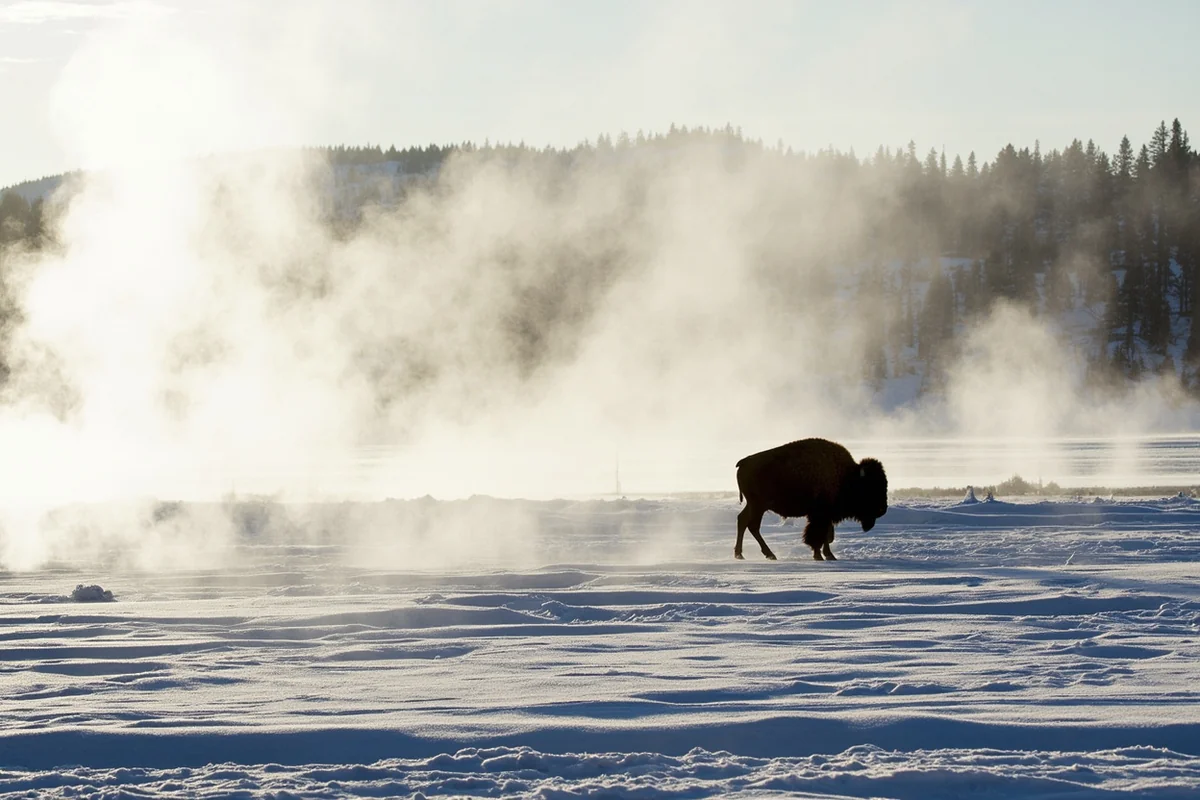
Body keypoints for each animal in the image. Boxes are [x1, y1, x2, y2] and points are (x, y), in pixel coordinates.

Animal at [734, 437, 888, 561]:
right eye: (870, 487)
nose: (883, 509)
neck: (847, 476)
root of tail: (743, 463)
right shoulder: (820, 515)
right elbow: (818, 535)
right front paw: (819, 556)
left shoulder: (825, 515)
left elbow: (827, 535)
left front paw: (829, 555)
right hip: (758, 506)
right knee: (752, 525)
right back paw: (769, 554)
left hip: (754, 506)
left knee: (743, 520)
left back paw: (740, 554)